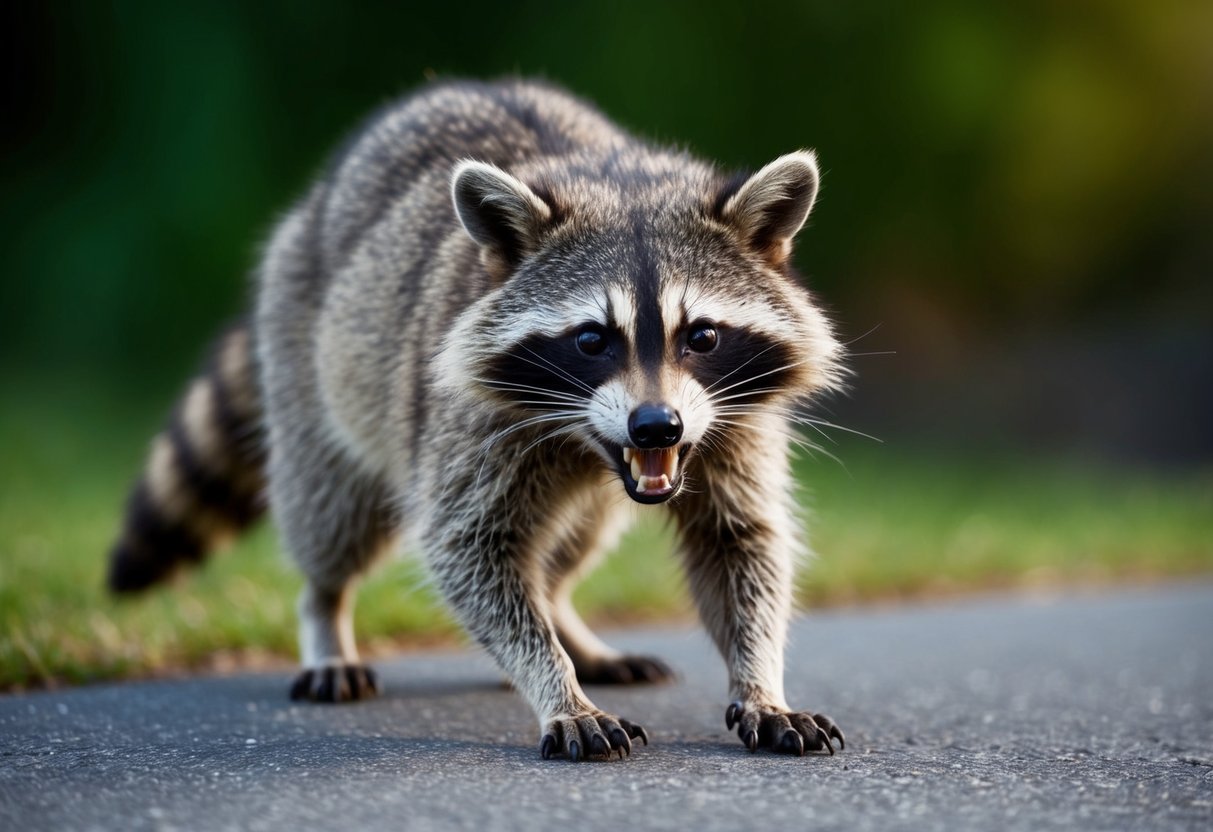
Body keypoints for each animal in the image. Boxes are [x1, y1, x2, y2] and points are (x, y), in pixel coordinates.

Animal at [108, 79, 847, 760]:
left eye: (702, 336)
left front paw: (759, 680)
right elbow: (467, 547)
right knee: (333, 514)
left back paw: (565, 620)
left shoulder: (734, 418)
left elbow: (741, 540)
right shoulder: (467, 419)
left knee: (574, 540)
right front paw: (555, 684)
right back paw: (326, 614)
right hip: (309, 361)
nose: (655, 428)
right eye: (591, 340)